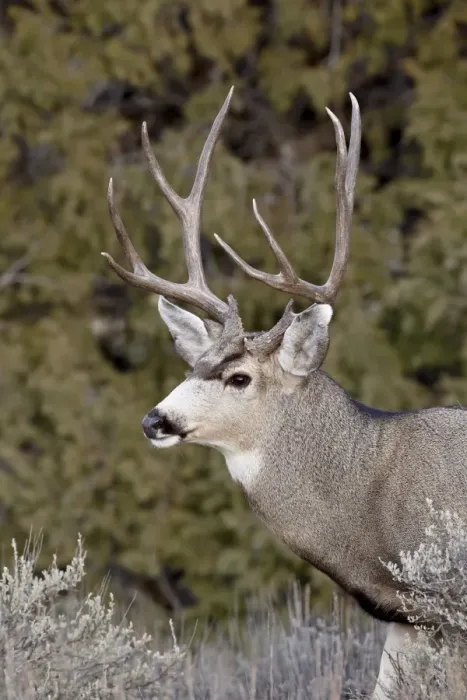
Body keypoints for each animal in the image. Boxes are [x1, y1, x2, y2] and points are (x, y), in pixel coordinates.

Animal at [101, 88, 467, 699]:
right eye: (193, 364)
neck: (369, 502)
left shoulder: (447, 602)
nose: (155, 420)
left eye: (239, 377)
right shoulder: (406, 615)